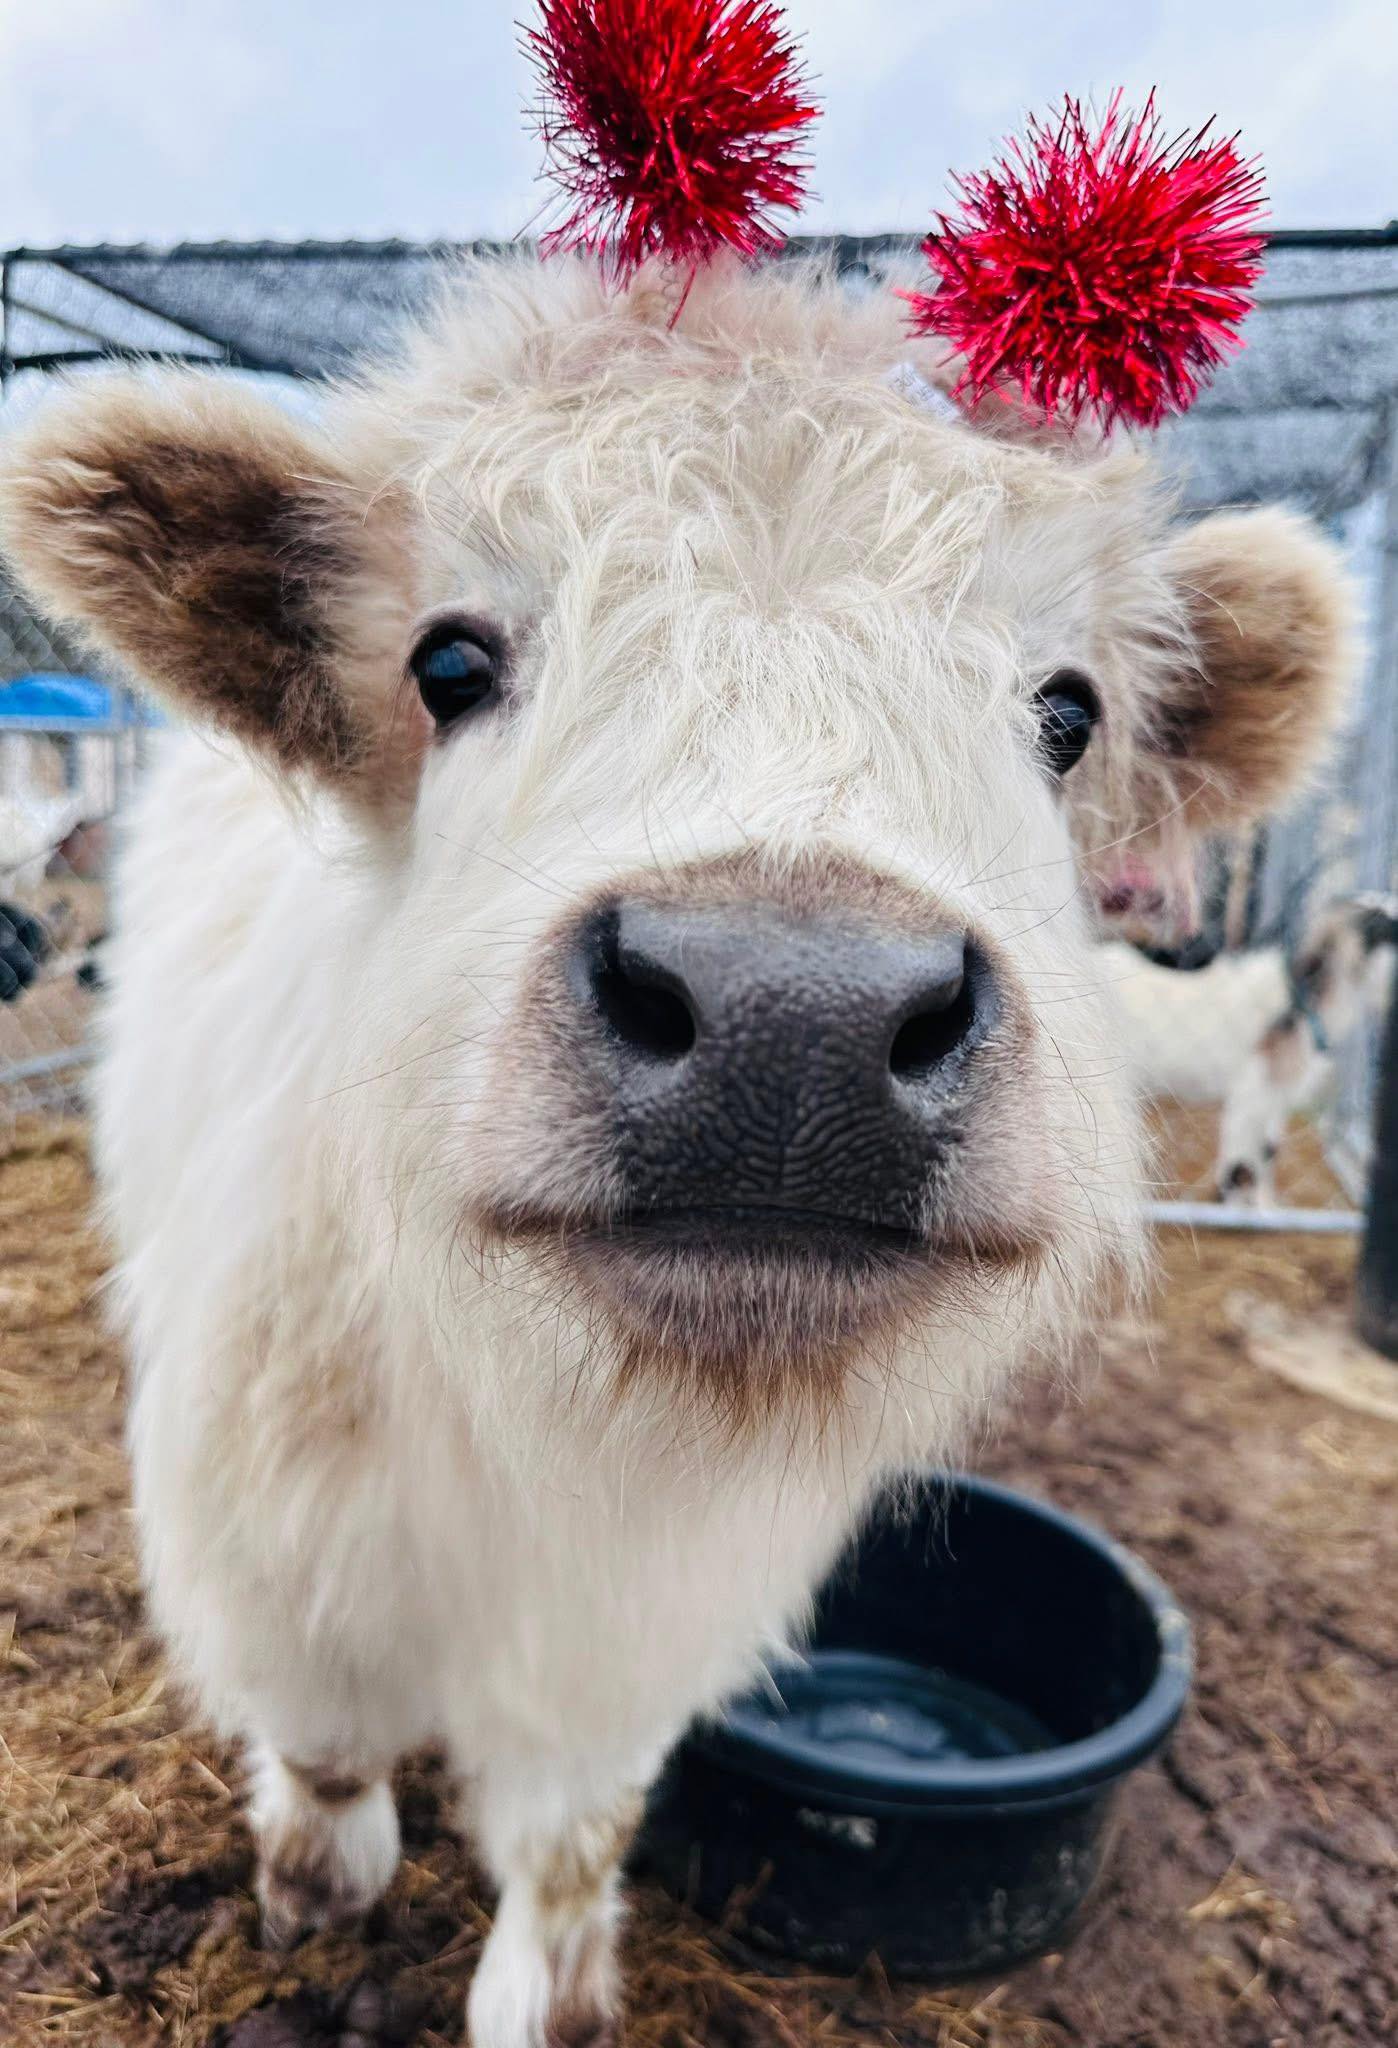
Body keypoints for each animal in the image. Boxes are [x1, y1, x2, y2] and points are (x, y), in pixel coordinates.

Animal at [0, 254, 1355, 2047]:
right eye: (446, 662)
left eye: (1067, 713)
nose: (795, 1025)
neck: (548, 1424)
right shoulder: (262, 1522)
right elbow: (326, 1731)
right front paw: (313, 1883)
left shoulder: (645, 1622)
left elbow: (571, 1829)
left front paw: (552, 1998)